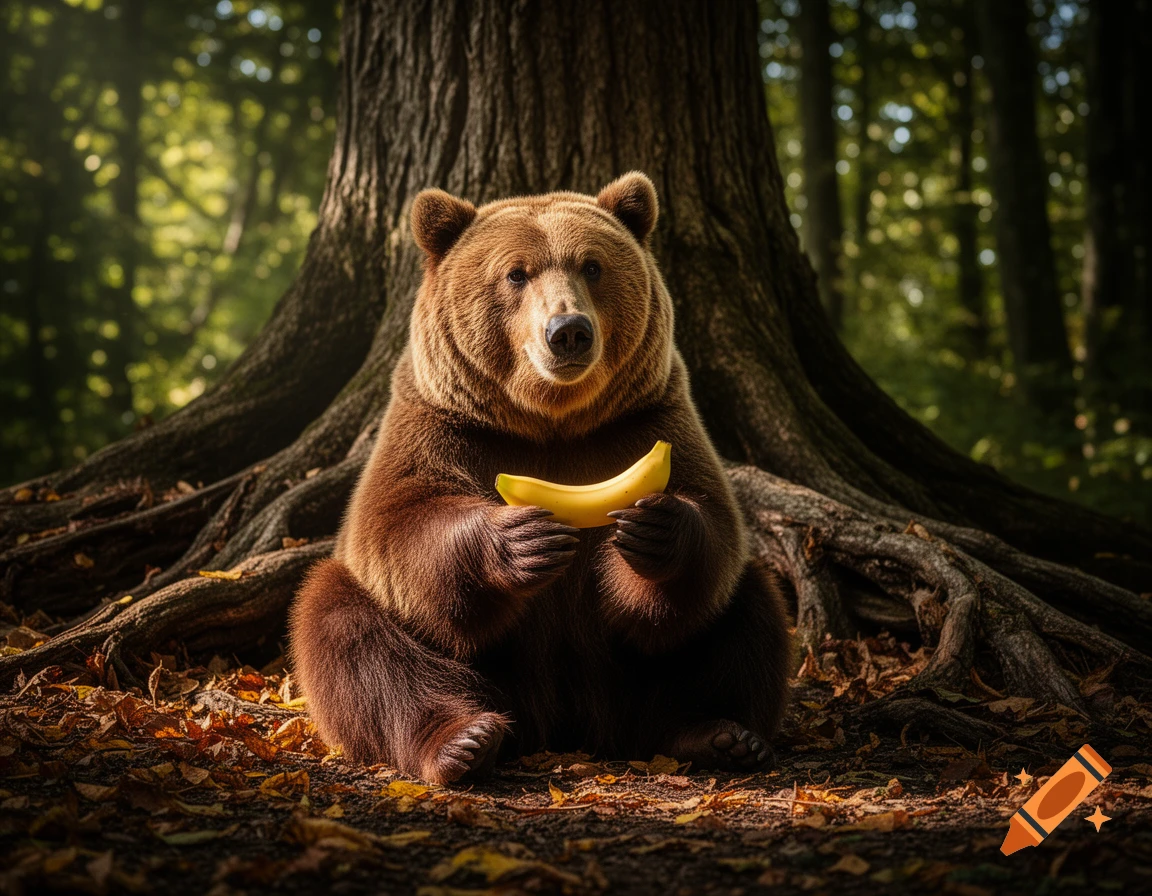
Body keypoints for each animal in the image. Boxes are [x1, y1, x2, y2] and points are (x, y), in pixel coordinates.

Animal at [288, 172, 791, 784]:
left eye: (592, 265)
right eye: (515, 273)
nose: (568, 331)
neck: (550, 423)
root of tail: (563, 724)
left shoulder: (648, 417)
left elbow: (712, 518)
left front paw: (654, 530)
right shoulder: (440, 422)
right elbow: (397, 521)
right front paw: (524, 539)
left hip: (629, 673)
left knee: (746, 609)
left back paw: (717, 733)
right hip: (491, 668)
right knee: (346, 625)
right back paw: (463, 740)